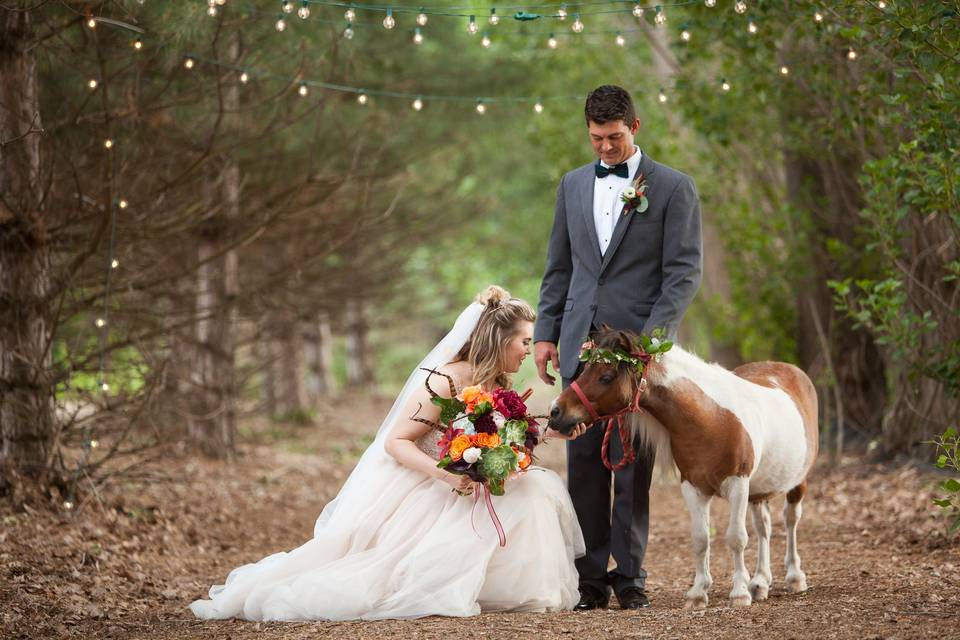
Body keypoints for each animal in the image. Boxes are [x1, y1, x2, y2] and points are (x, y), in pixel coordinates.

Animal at [548, 330, 816, 608]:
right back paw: (760, 582)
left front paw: (739, 593)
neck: (713, 418)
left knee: (790, 520)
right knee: (764, 527)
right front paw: (698, 593)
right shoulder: (692, 487)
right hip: (759, 490)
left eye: (606, 377)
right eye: (585, 369)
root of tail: (790, 370)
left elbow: (736, 538)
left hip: (797, 482)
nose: (555, 411)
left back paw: (795, 577)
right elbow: (700, 539)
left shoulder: (738, 484)